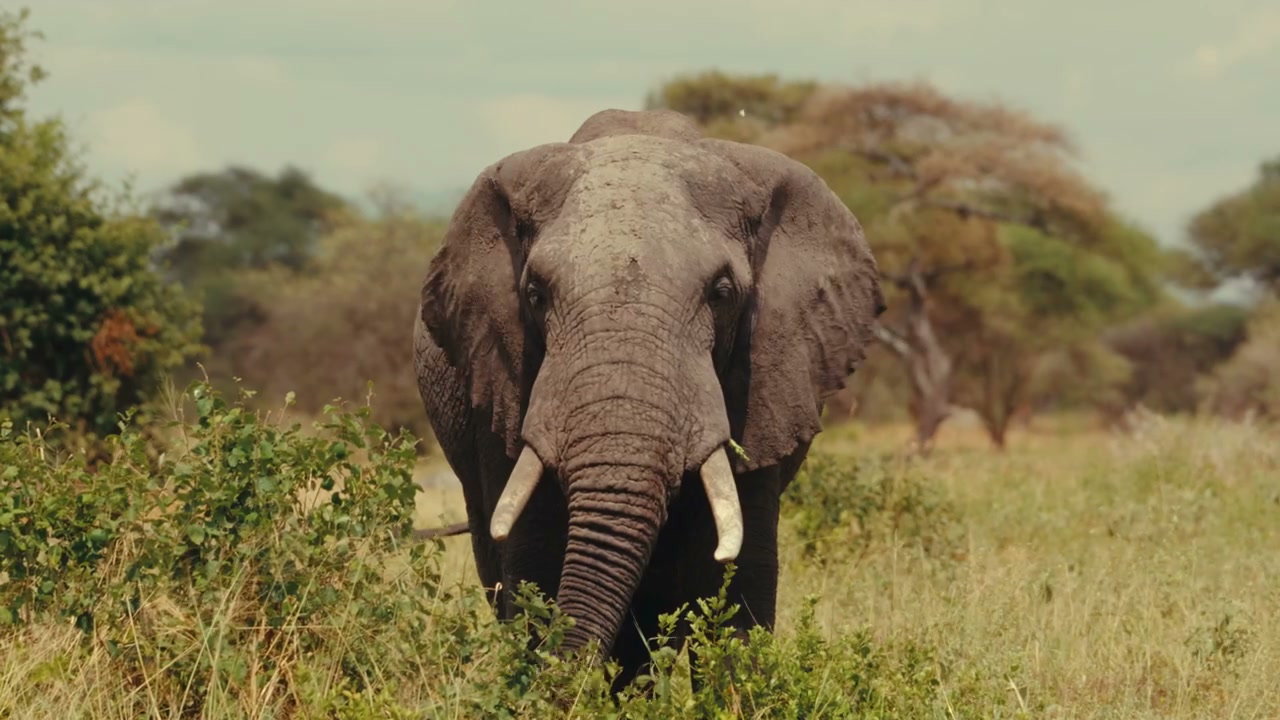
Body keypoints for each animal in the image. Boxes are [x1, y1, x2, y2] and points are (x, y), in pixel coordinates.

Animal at [413, 108, 883, 683]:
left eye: (722, 293)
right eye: (535, 294)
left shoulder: (764, 380)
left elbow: (733, 577)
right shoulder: (503, 377)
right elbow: (534, 561)